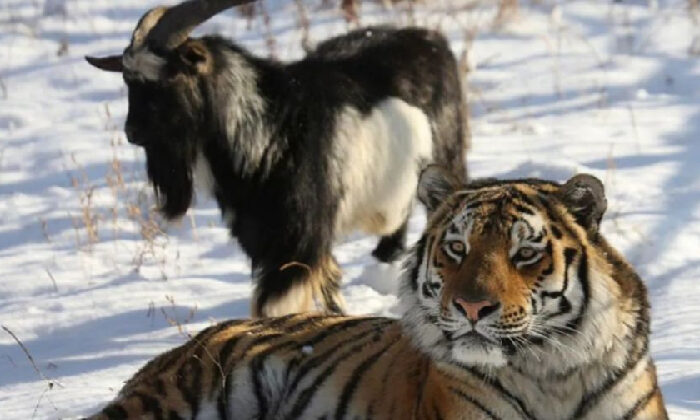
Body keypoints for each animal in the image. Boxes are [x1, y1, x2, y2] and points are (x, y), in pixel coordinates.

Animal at [86, 0, 469, 317]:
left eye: (169, 79)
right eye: (128, 80)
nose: (132, 131)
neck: (269, 129)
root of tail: (430, 39)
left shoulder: (298, 240)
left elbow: (274, 306)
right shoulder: (266, 240)